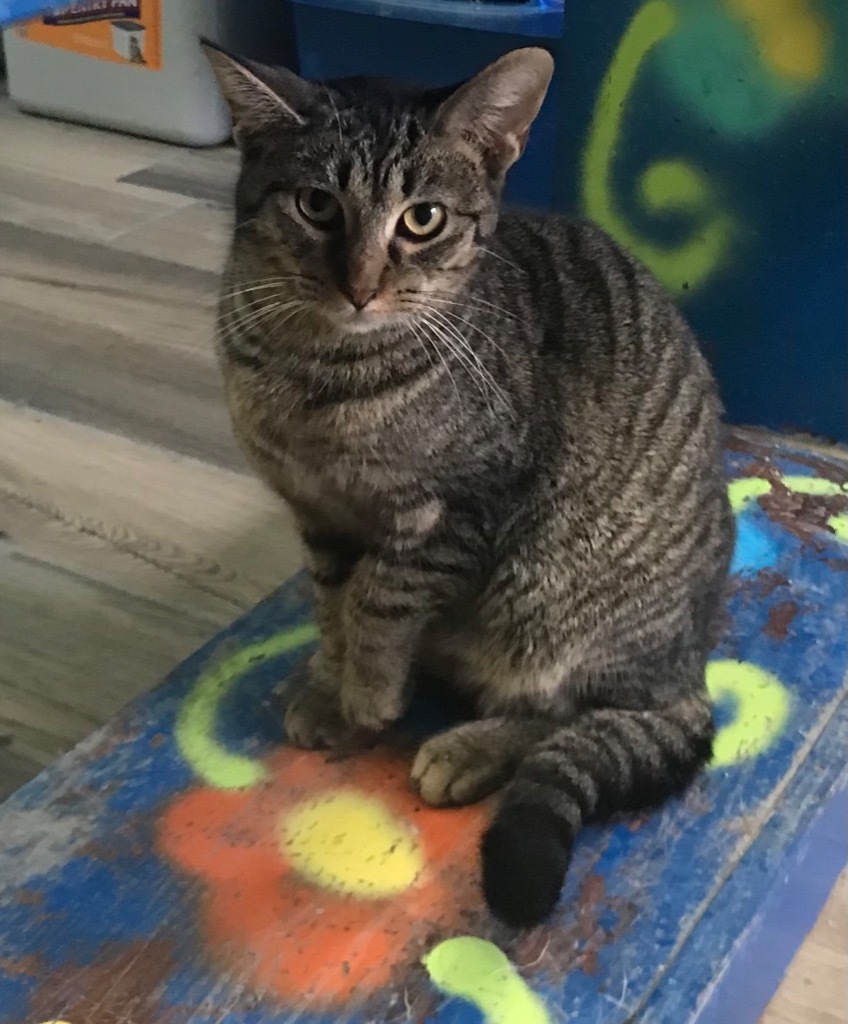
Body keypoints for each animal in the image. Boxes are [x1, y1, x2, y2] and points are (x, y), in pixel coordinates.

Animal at [201, 44, 733, 929]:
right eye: (316, 205)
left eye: (422, 219)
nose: (360, 285)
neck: (320, 372)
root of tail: (694, 660)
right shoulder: (318, 514)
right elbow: (331, 605)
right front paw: (332, 685)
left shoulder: (460, 510)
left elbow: (378, 600)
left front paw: (369, 691)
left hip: (551, 591)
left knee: (589, 712)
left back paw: (469, 748)